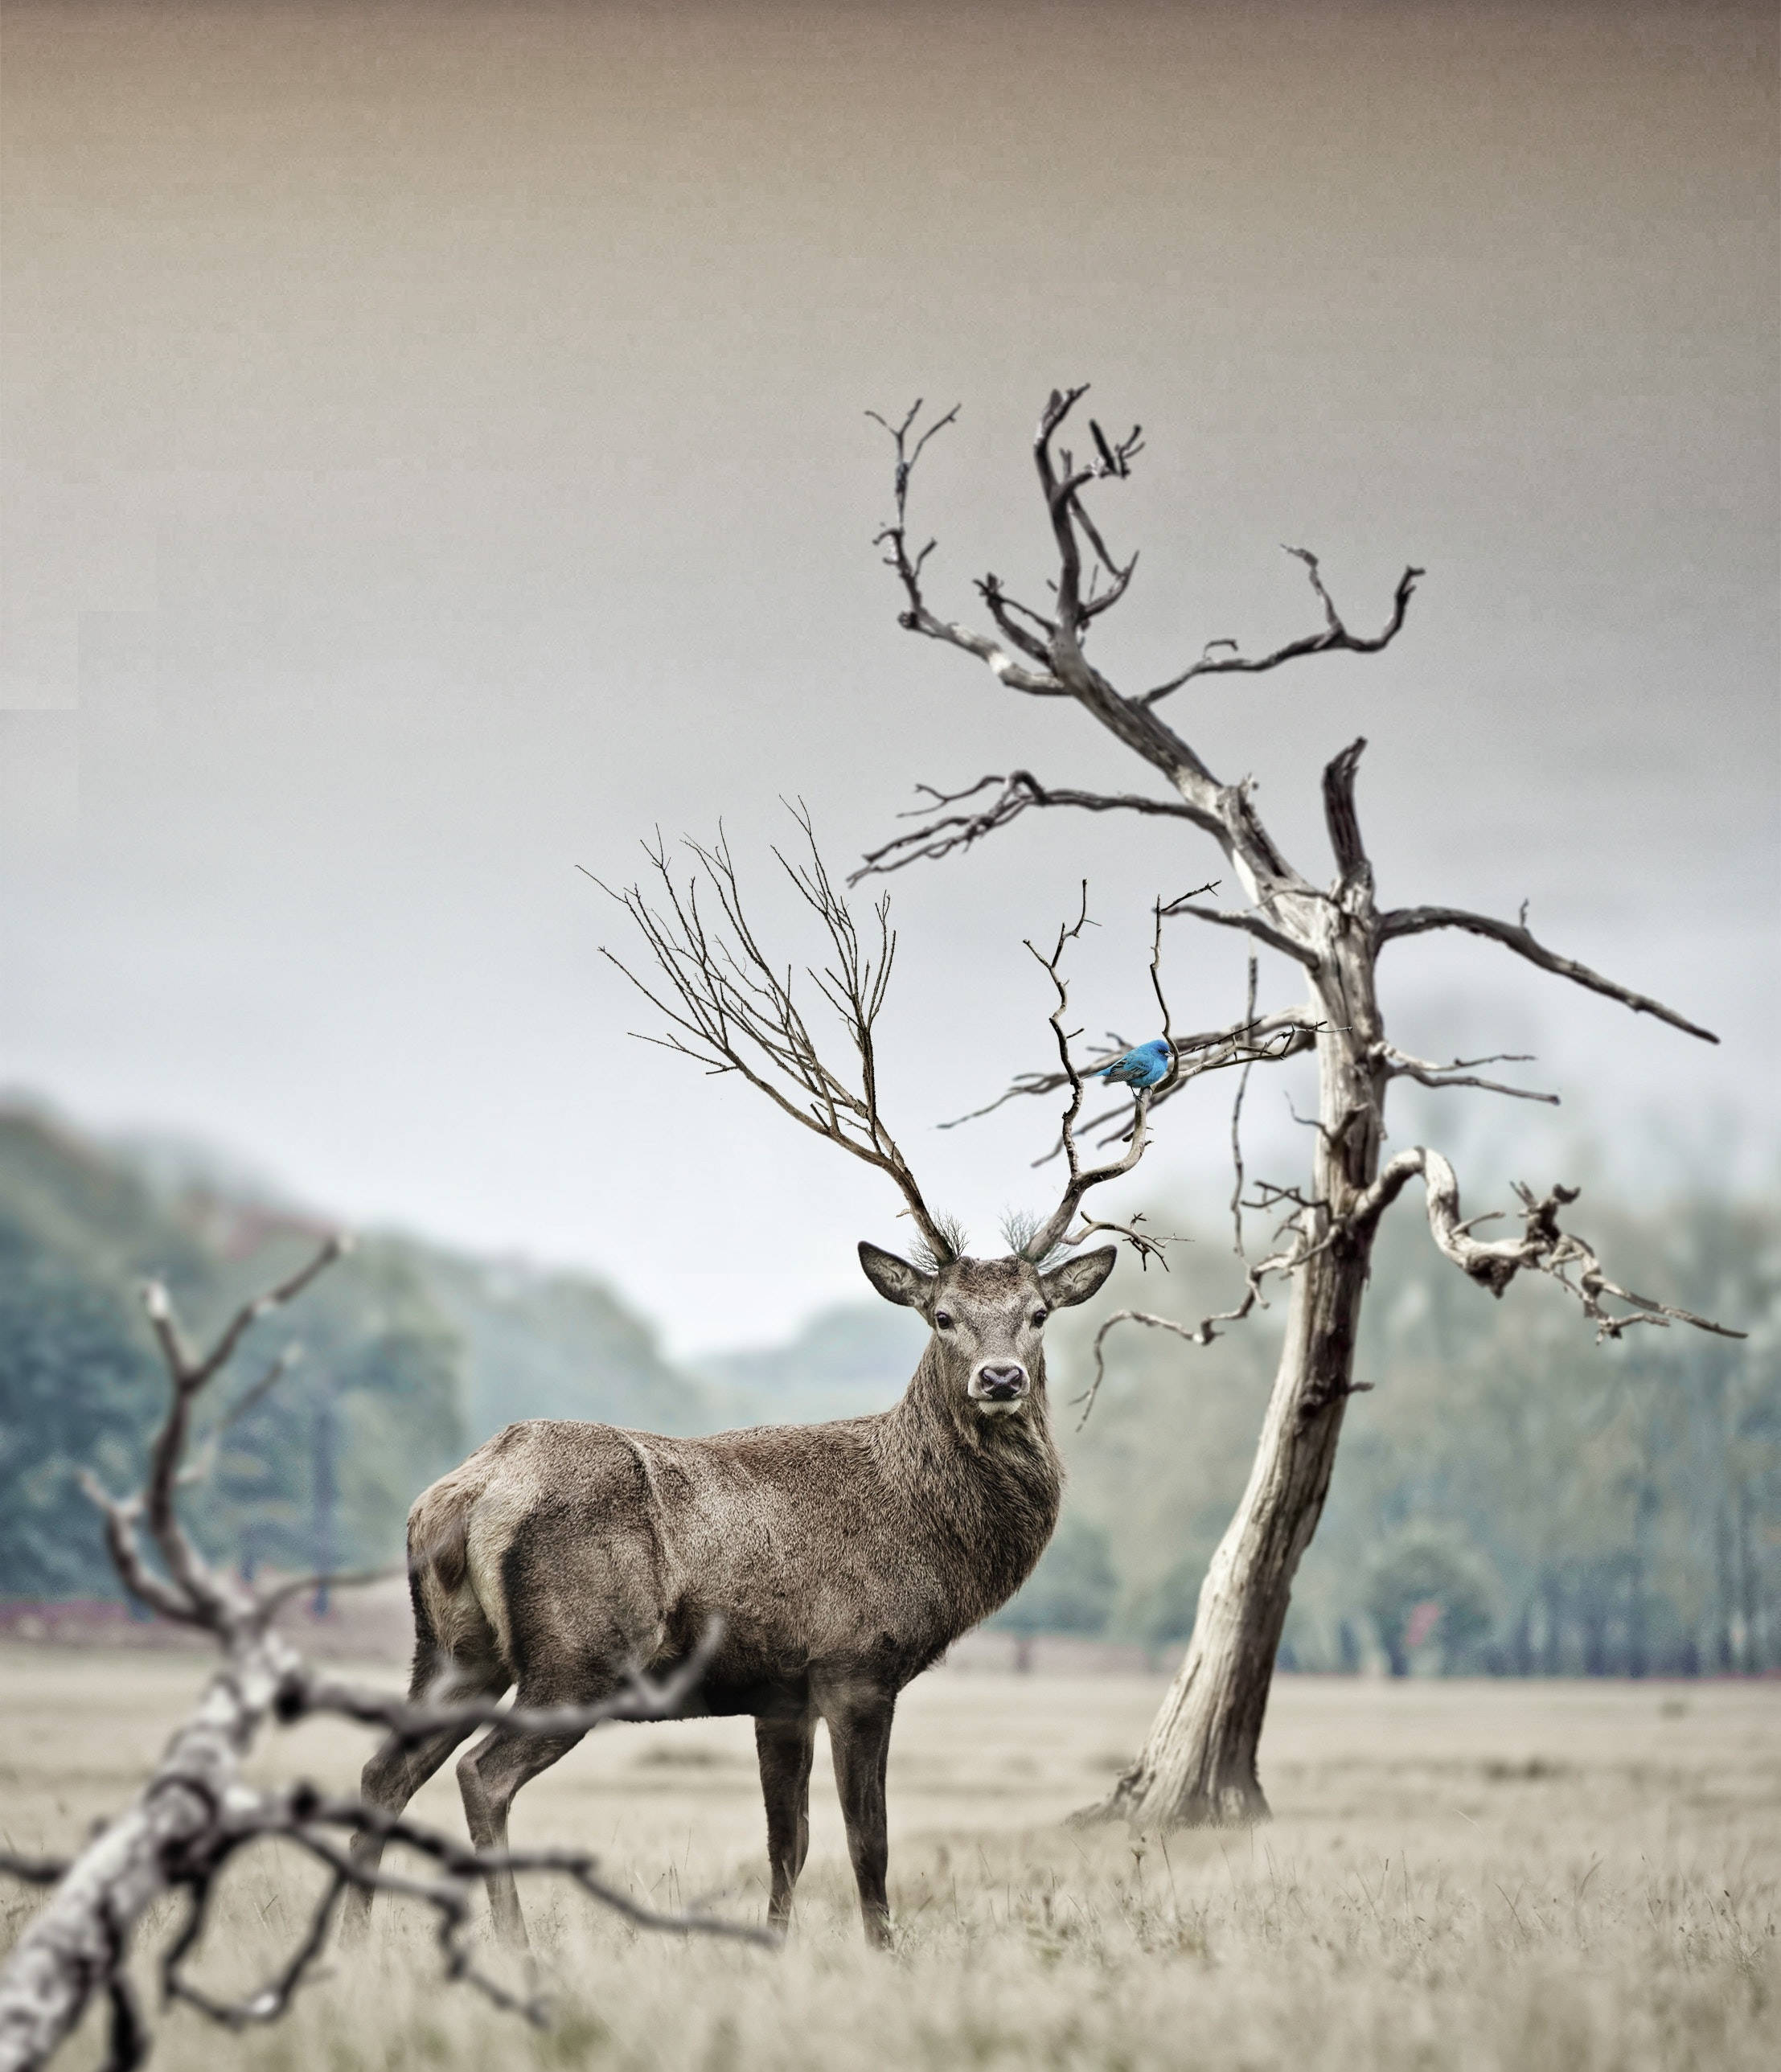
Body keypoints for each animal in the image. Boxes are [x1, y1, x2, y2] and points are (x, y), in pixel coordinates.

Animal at [342, 825, 1173, 1949]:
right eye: (941, 1317)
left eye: (1039, 1314)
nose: (1000, 1377)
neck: (929, 1534)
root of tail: (465, 1492)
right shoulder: (856, 1664)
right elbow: (868, 1844)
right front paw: (884, 1953)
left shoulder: (776, 1692)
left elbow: (789, 1844)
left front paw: (774, 1949)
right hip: (579, 1655)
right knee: (482, 1776)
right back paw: (513, 1944)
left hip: (452, 1650)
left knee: (382, 1772)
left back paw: (350, 1945)